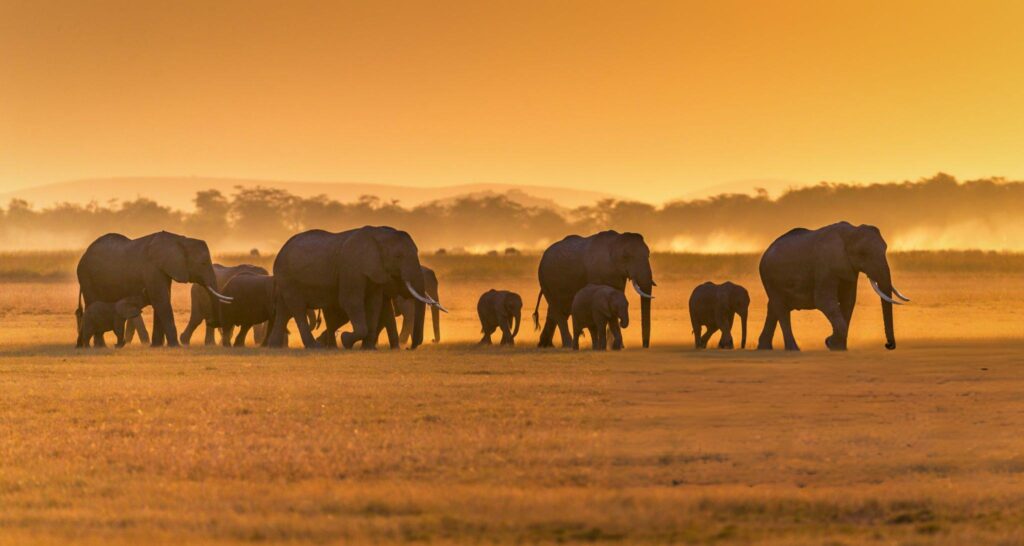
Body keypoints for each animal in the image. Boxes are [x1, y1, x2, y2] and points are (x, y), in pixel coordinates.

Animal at [77, 229, 234, 344]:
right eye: (203, 263)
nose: (214, 322)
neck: (179, 239)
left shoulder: (164, 269)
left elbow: (162, 300)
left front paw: (157, 346)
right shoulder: (152, 268)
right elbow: (161, 301)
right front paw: (174, 346)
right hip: (86, 277)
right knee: (92, 303)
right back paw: (99, 346)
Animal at [268, 225, 444, 348]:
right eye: (398, 256)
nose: (409, 348)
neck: (378, 234)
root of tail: (281, 250)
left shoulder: (374, 272)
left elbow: (374, 304)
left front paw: (367, 348)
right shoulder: (351, 267)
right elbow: (350, 301)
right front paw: (346, 340)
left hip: (285, 278)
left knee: (284, 310)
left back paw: (274, 346)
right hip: (288, 276)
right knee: (297, 308)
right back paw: (313, 346)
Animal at [753, 220, 913, 350]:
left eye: (885, 249)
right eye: (862, 253)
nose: (888, 345)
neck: (849, 233)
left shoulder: (848, 269)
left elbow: (848, 301)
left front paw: (838, 347)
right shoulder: (825, 266)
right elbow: (824, 301)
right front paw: (830, 342)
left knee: (773, 308)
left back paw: (764, 348)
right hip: (769, 276)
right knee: (781, 309)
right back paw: (793, 349)